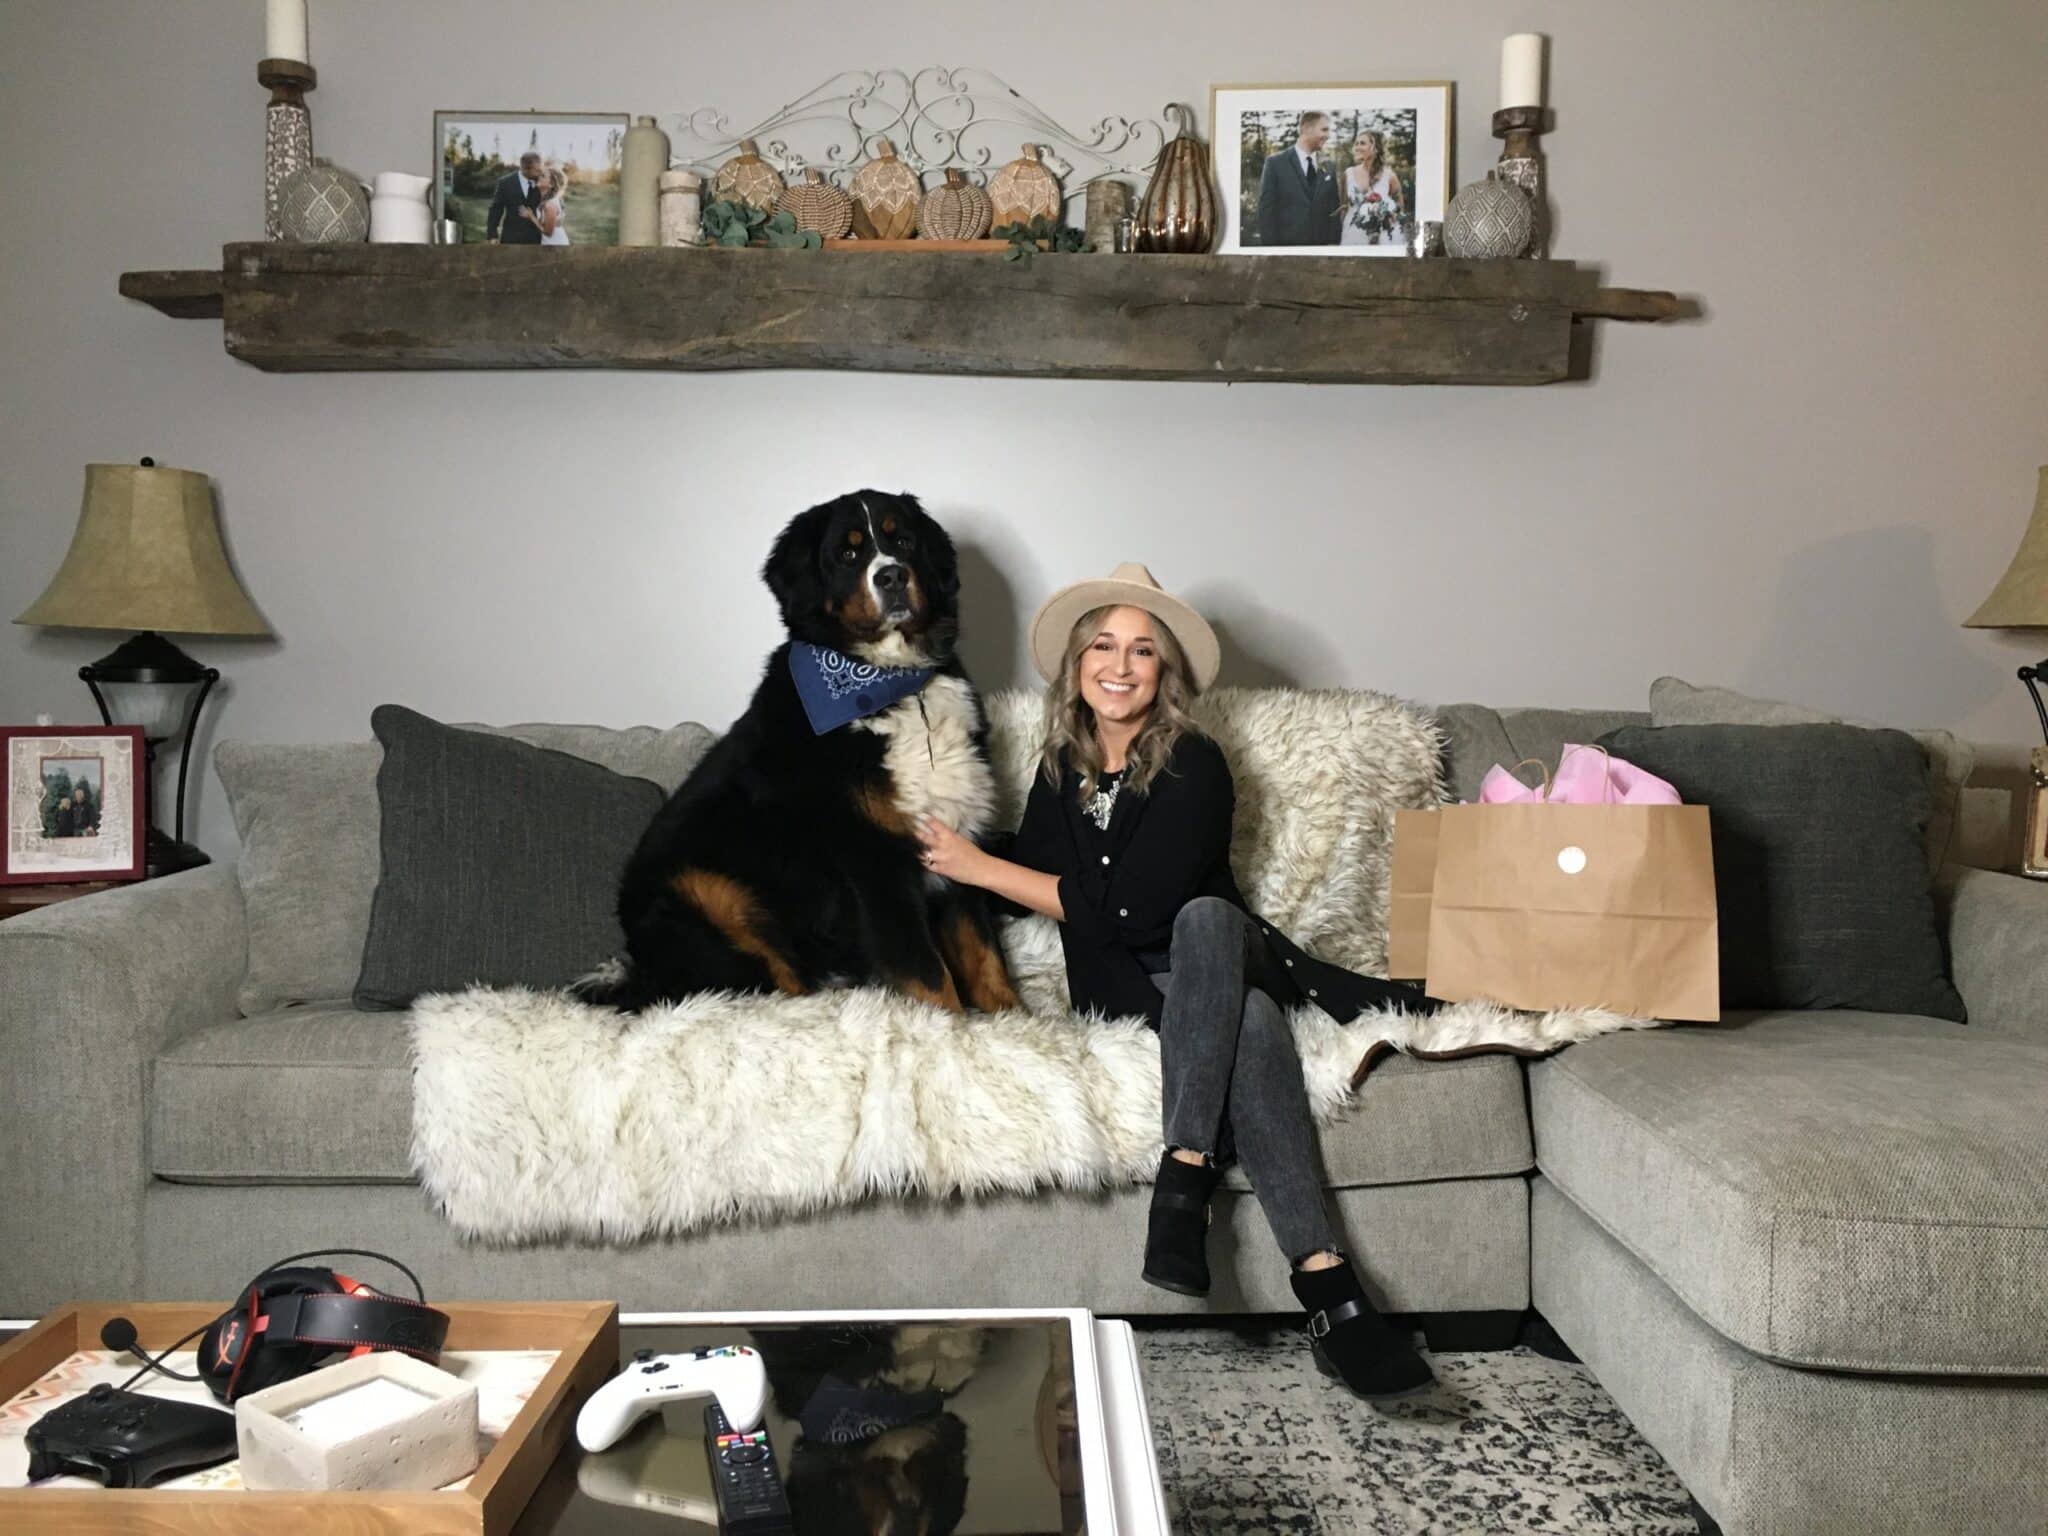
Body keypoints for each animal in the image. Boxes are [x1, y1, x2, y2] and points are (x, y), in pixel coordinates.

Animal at [584, 490, 1022, 1015]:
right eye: (849, 553)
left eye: (903, 540)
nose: (892, 576)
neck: (892, 685)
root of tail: (637, 967)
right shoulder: (875, 863)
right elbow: (930, 976)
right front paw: (951, 1029)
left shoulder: (958, 844)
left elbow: (985, 958)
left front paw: (1019, 1024)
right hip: (714, 898)